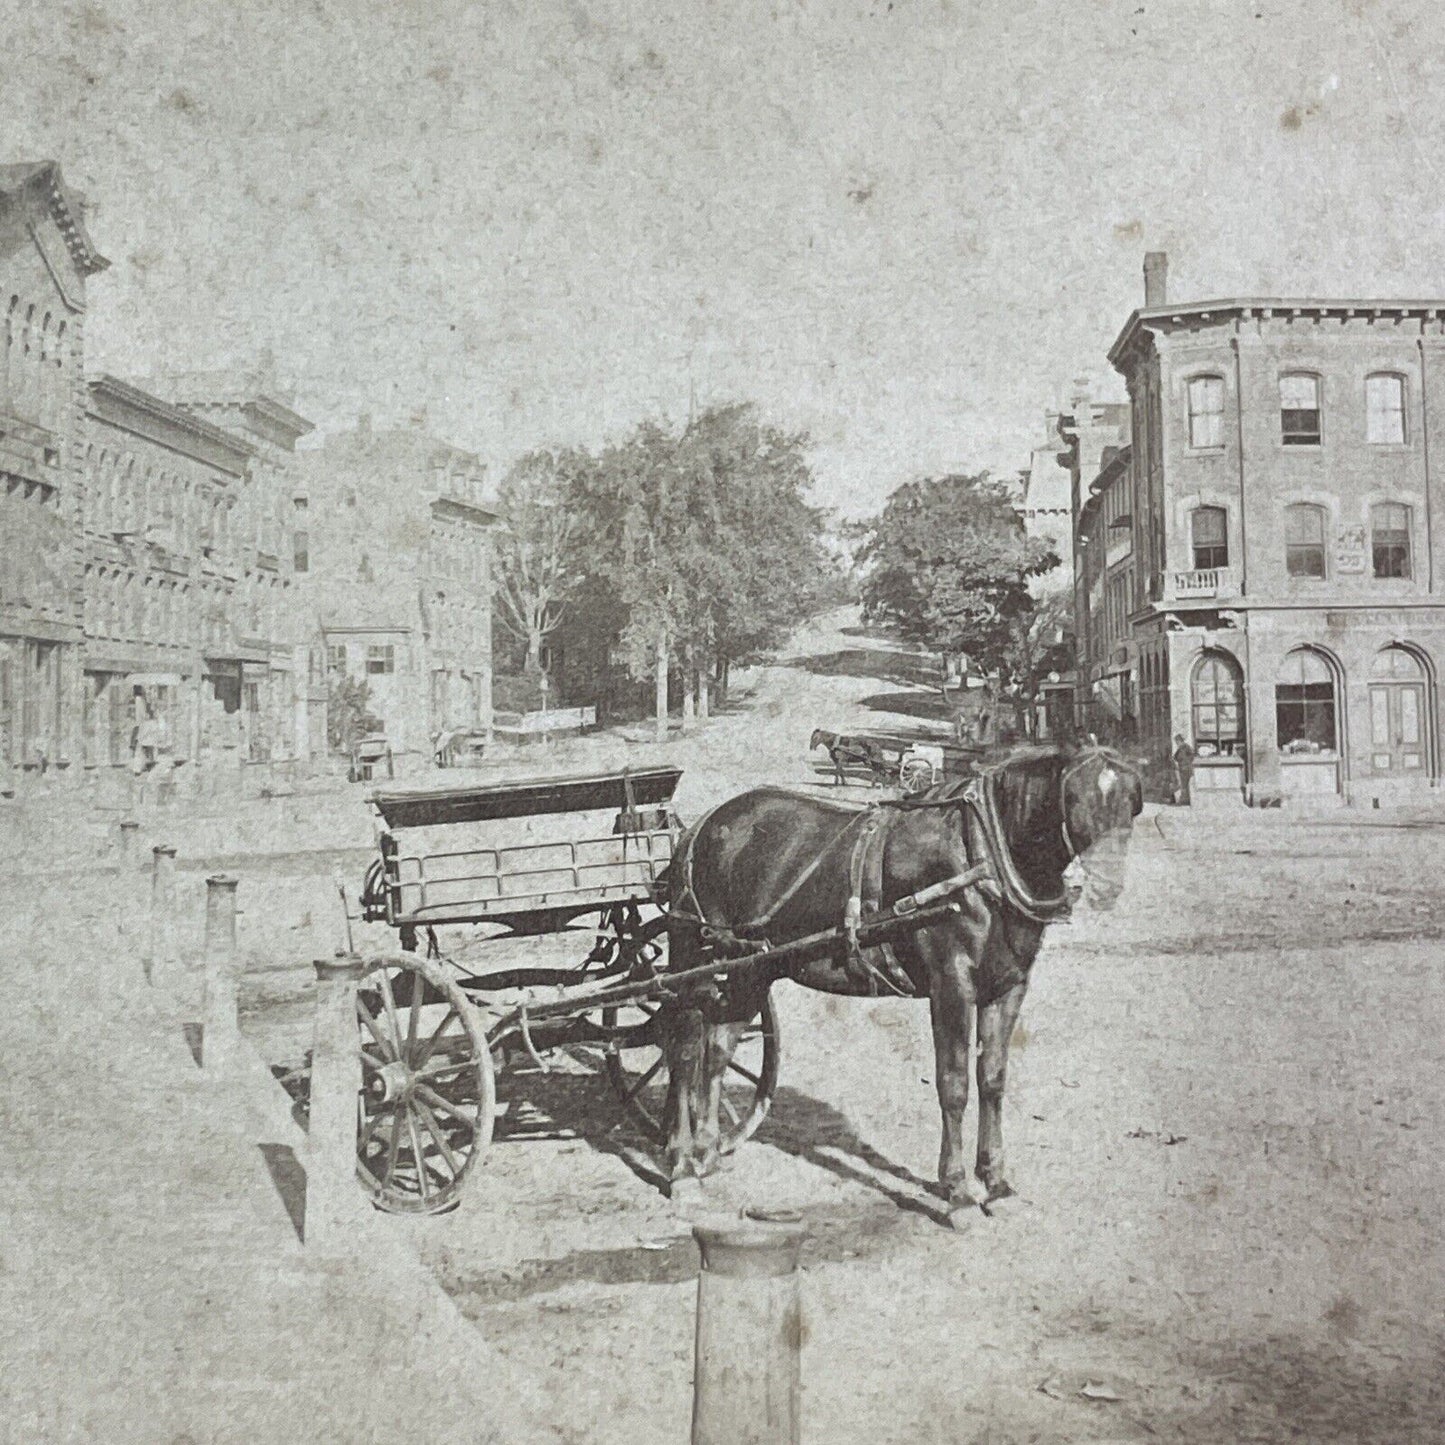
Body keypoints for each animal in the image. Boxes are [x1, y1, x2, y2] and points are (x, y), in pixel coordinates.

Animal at [661, 745, 1144, 1219]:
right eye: (1074, 800)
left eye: (1132, 804)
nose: (1106, 886)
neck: (980, 853)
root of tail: (702, 827)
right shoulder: (952, 984)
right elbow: (954, 1084)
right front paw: (957, 1190)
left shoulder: (1008, 986)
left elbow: (992, 1079)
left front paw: (995, 1182)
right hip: (692, 958)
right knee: (684, 1050)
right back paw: (681, 1165)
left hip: (751, 967)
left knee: (718, 1049)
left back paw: (707, 1152)